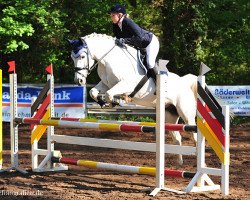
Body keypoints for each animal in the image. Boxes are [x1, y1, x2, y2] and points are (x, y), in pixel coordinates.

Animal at [68, 32, 197, 164]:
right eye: (72, 57)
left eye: (82, 56)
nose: (79, 81)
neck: (109, 60)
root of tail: (185, 82)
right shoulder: (106, 84)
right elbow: (93, 92)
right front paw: (104, 102)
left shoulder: (127, 85)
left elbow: (109, 94)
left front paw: (116, 101)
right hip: (169, 115)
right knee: (177, 137)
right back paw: (179, 162)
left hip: (186, 114)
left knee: (194, 135)